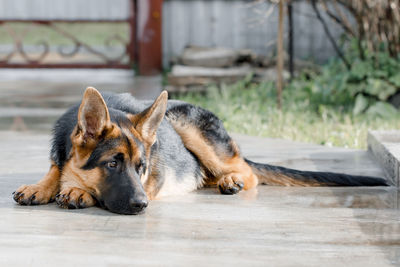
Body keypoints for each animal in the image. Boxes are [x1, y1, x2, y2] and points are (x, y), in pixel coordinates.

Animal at [13, 88, 388, 216]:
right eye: (112, 164)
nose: (142, 206)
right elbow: (56, 167)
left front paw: (77, 190)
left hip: (186, 122)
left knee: (248, 172)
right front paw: (42, 186)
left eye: (141, 167)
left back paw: (232, 180)